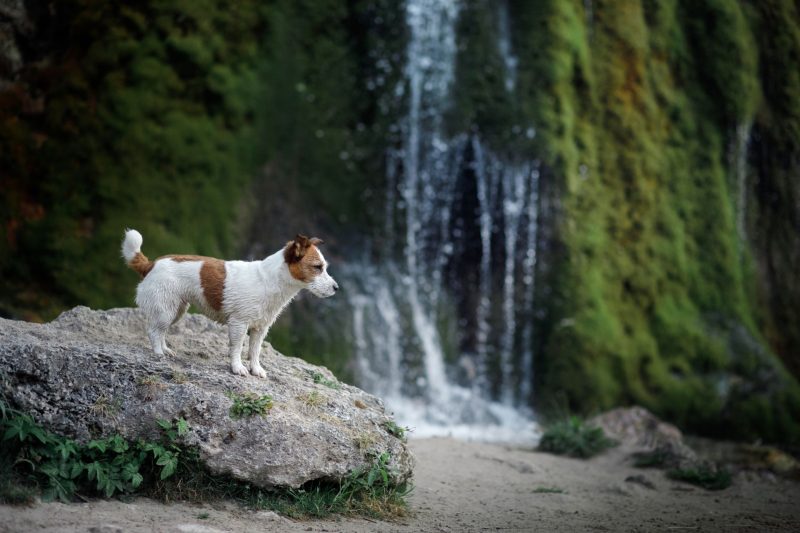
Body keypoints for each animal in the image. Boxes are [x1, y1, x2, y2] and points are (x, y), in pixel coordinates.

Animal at [119, 231, 338, 376]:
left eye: (324, 267)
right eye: (317, 267)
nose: (336, 288)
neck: (269, 280)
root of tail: (151, 265)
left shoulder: (260, 329)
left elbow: (255, 351)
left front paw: (256, 369)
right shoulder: (239, 324)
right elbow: (237, 348)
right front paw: (237, 368)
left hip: (176, 311)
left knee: (161, 331)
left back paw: (166, 350)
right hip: (165, 310)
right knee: (153, 331)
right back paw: (158, 353)